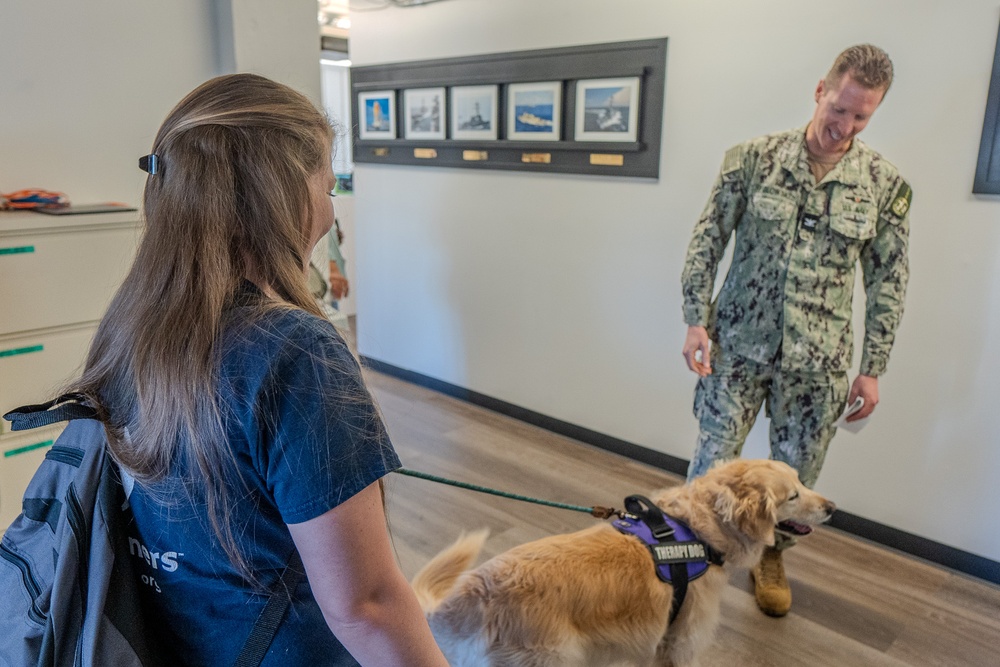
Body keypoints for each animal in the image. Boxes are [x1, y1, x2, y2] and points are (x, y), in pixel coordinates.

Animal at [410, 460, 832, 667]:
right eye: (794, 495)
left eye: (802, 480)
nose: (832, 507)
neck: (698, 531)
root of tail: (475, 591)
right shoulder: (680, 643)